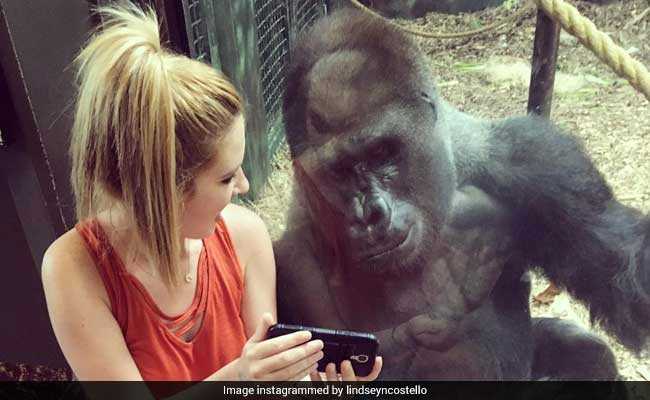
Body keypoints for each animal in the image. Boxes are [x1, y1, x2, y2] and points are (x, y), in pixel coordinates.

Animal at [270, 7, 644, 380]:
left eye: (381, 152)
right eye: (338, 171)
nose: (372, 214)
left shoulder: (538, 161)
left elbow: (625, 272)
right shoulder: (292, 256)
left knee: (589, 351)